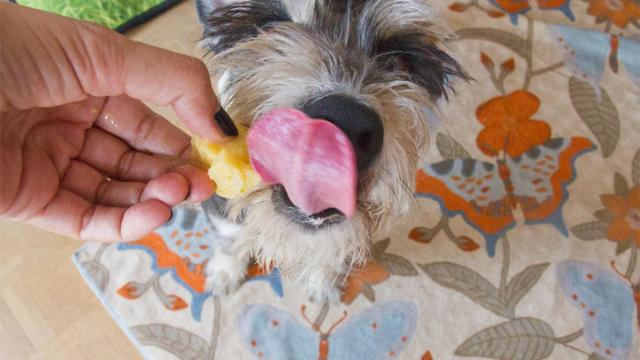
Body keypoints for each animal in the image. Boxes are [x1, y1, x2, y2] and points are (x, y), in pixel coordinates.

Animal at [195, 0, 464, 302]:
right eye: (269, 30)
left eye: (397, 62)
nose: (345, 119)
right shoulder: (219, 201)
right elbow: (228, 235)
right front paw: (225, 272)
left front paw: (322, 283)